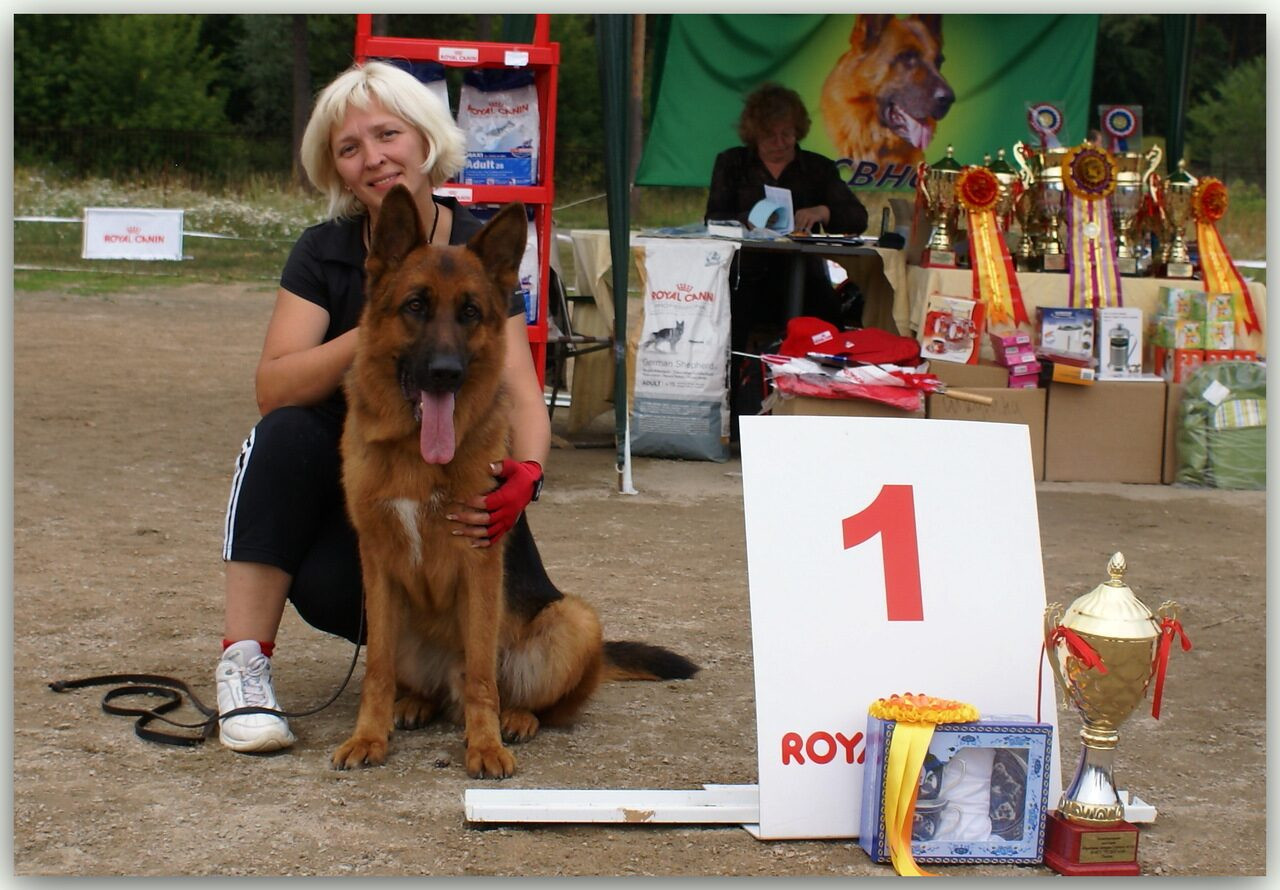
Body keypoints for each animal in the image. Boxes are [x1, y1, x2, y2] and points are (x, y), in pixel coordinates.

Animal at [330, 188, 691, 778]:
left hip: (575, 620)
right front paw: (369, 736)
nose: (446, 373)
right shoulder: (377, 571)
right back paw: (417, 702)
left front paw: (485, 745)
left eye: (470, 312)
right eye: (415, 306)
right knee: (424, 686)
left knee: (531, 698)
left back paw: (516, 719)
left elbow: (482, 675)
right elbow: (376, 671)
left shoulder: (479, 568)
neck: (415, 455)